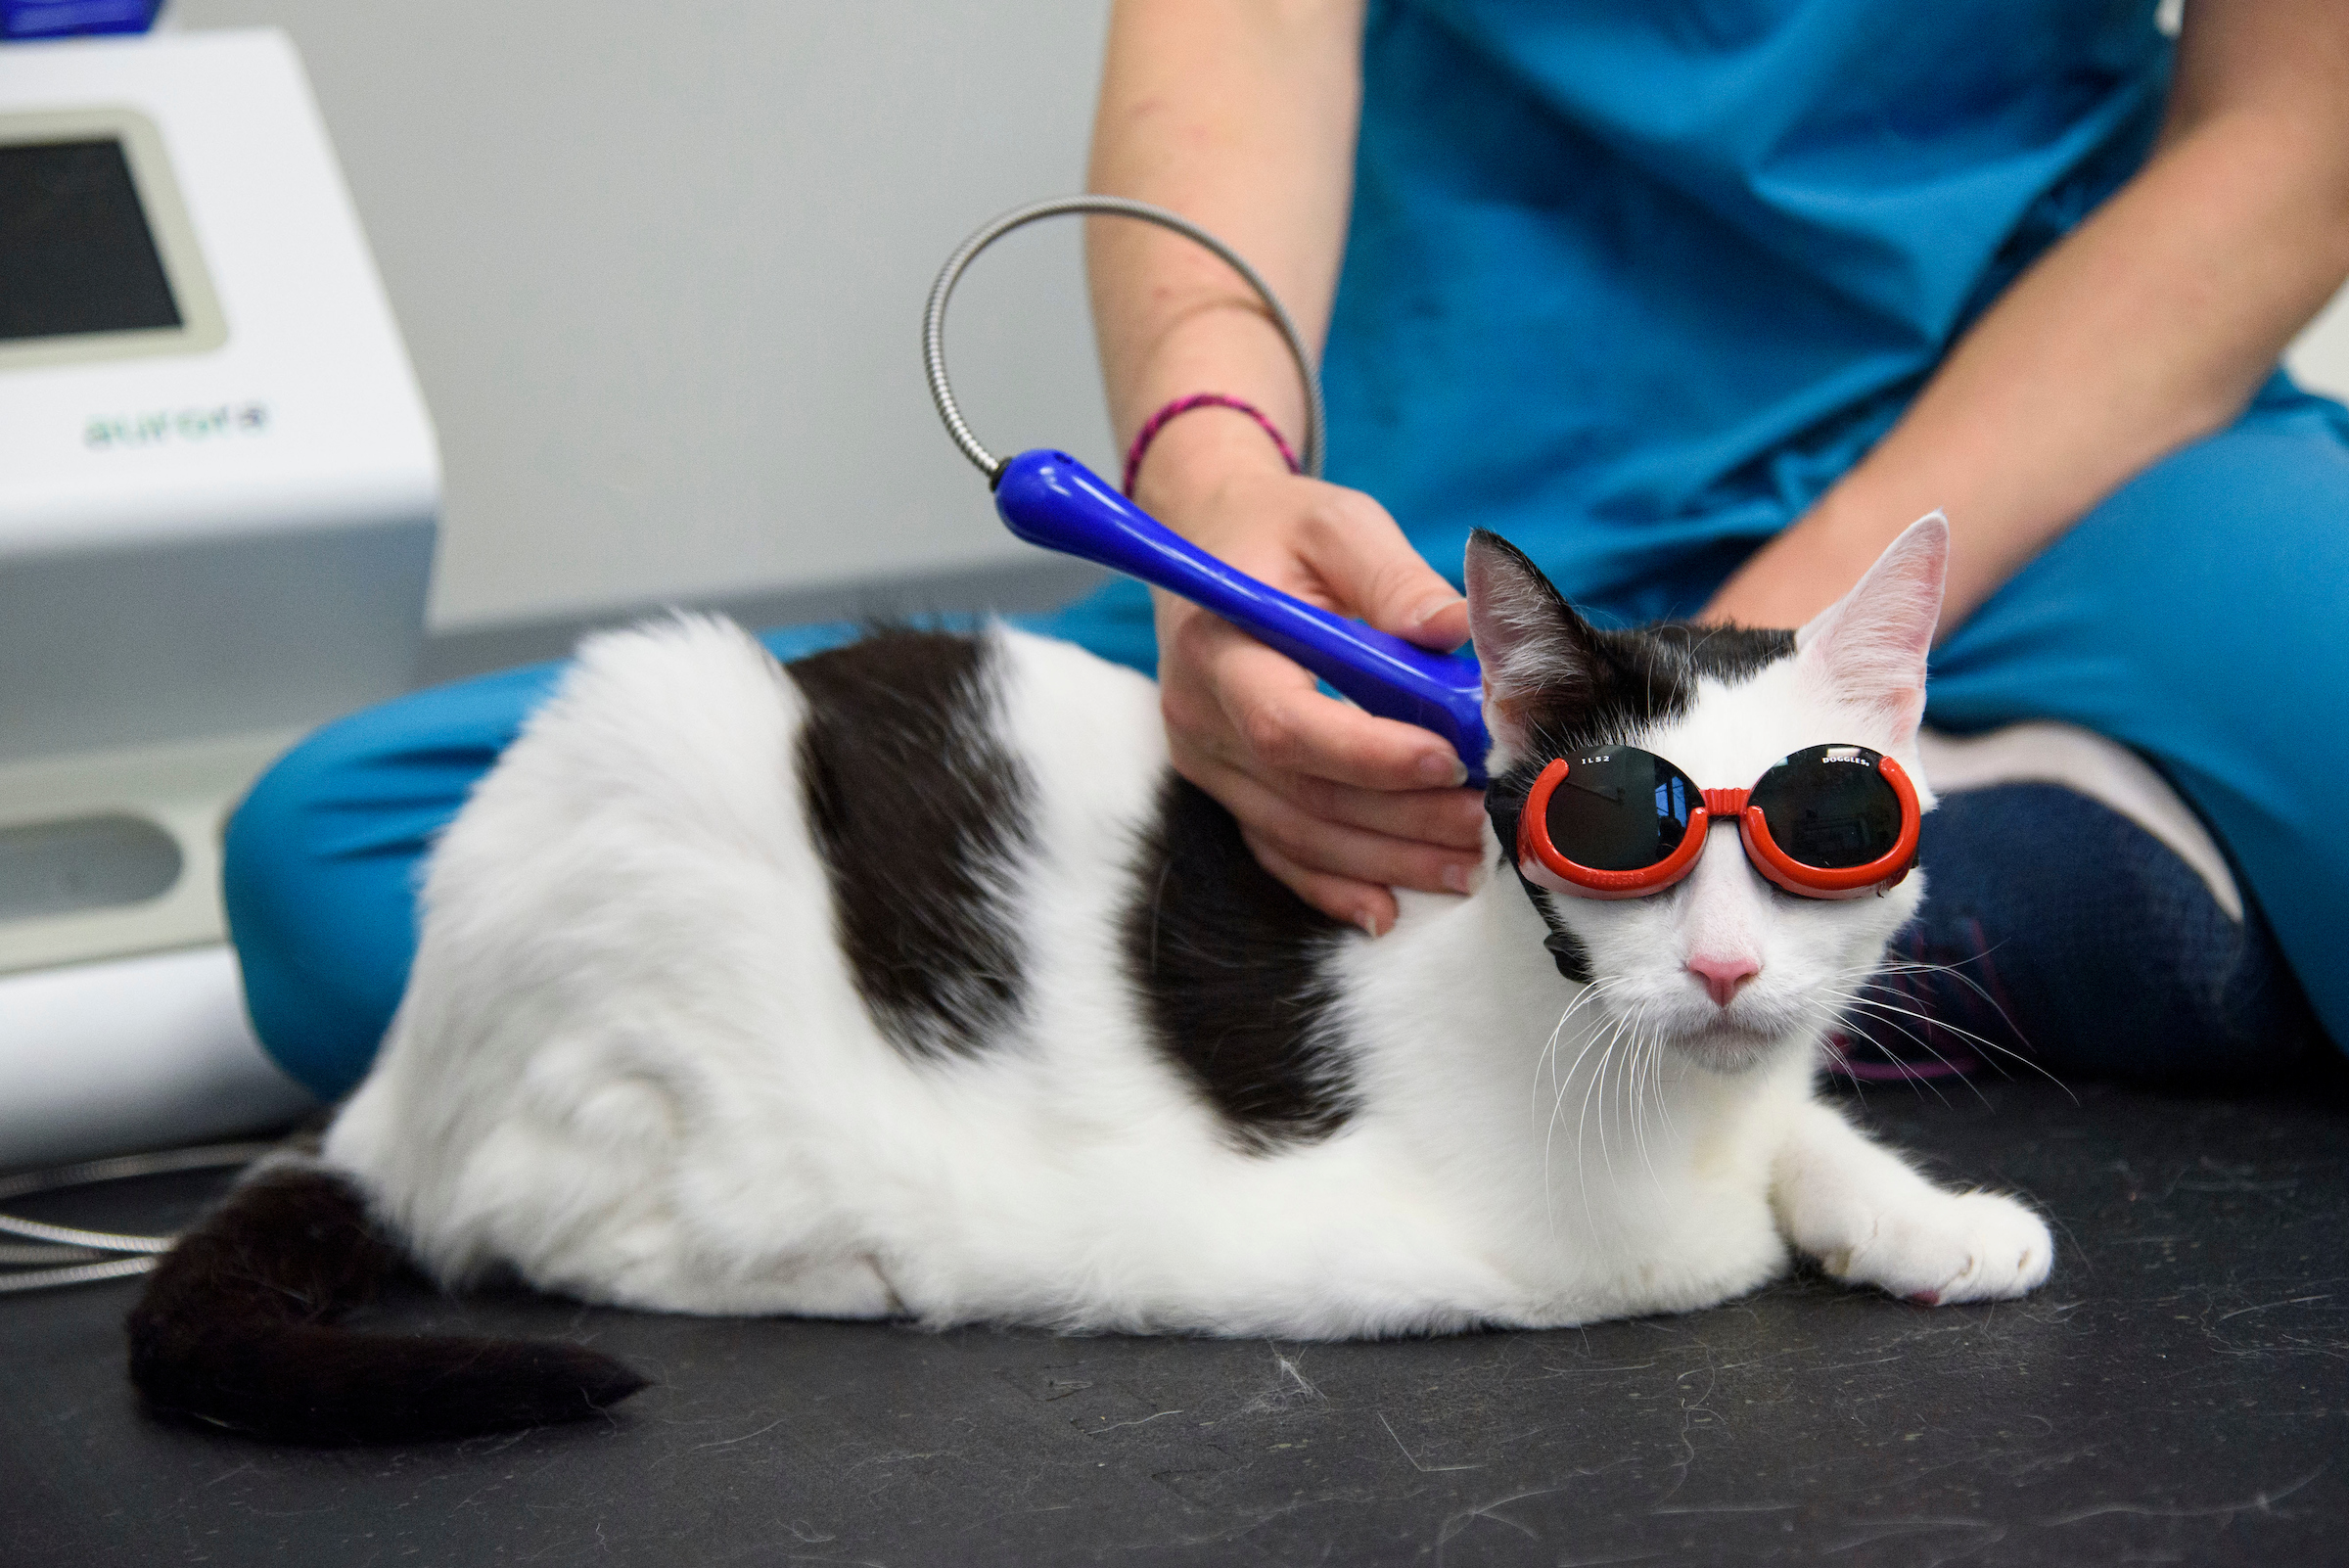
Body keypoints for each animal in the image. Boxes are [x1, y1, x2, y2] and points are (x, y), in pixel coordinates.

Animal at [128, 516, 2048, 1446]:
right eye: (1618, 829)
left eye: (1827, 829)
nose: (1721, 965)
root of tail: (393, 1079)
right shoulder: (1457, 1247)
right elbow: (1695, 1249)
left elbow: (1803, 1132)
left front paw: (1927, 1217)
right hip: (654, 823)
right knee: (552, 1221)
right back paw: (848, 1268)